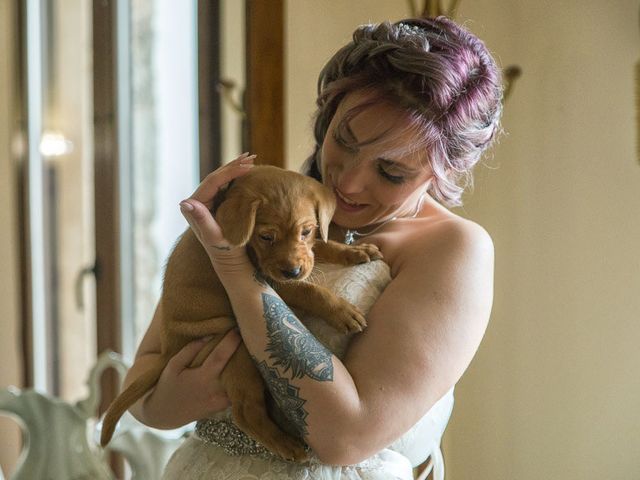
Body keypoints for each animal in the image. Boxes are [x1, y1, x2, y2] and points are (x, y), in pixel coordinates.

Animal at [97, 166, 382, 462]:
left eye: (306, 230)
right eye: (266, 237)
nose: (292, 271)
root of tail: (169, 350)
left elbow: (323, 246)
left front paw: (355, 251)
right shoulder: (273, 279)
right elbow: (310, 291)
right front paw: (343, 312)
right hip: (237, 346)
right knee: (245, 411)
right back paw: (287, 445)